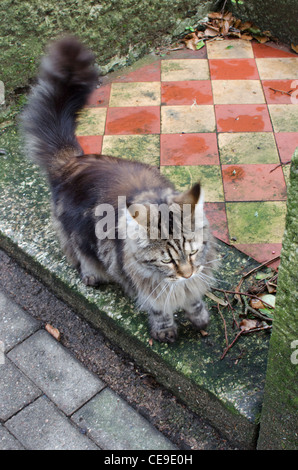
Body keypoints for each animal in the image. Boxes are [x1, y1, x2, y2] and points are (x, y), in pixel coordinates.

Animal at [20, 36, 217, 344]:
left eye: (194, 252)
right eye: (168, 260)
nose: (186, 274)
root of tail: (74, 161)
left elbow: (194, 299)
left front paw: (199, 316)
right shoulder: (143, 282)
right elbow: (158, 306)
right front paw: (165, 329)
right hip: (81, 235)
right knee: (79, 255)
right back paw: (91, 275)